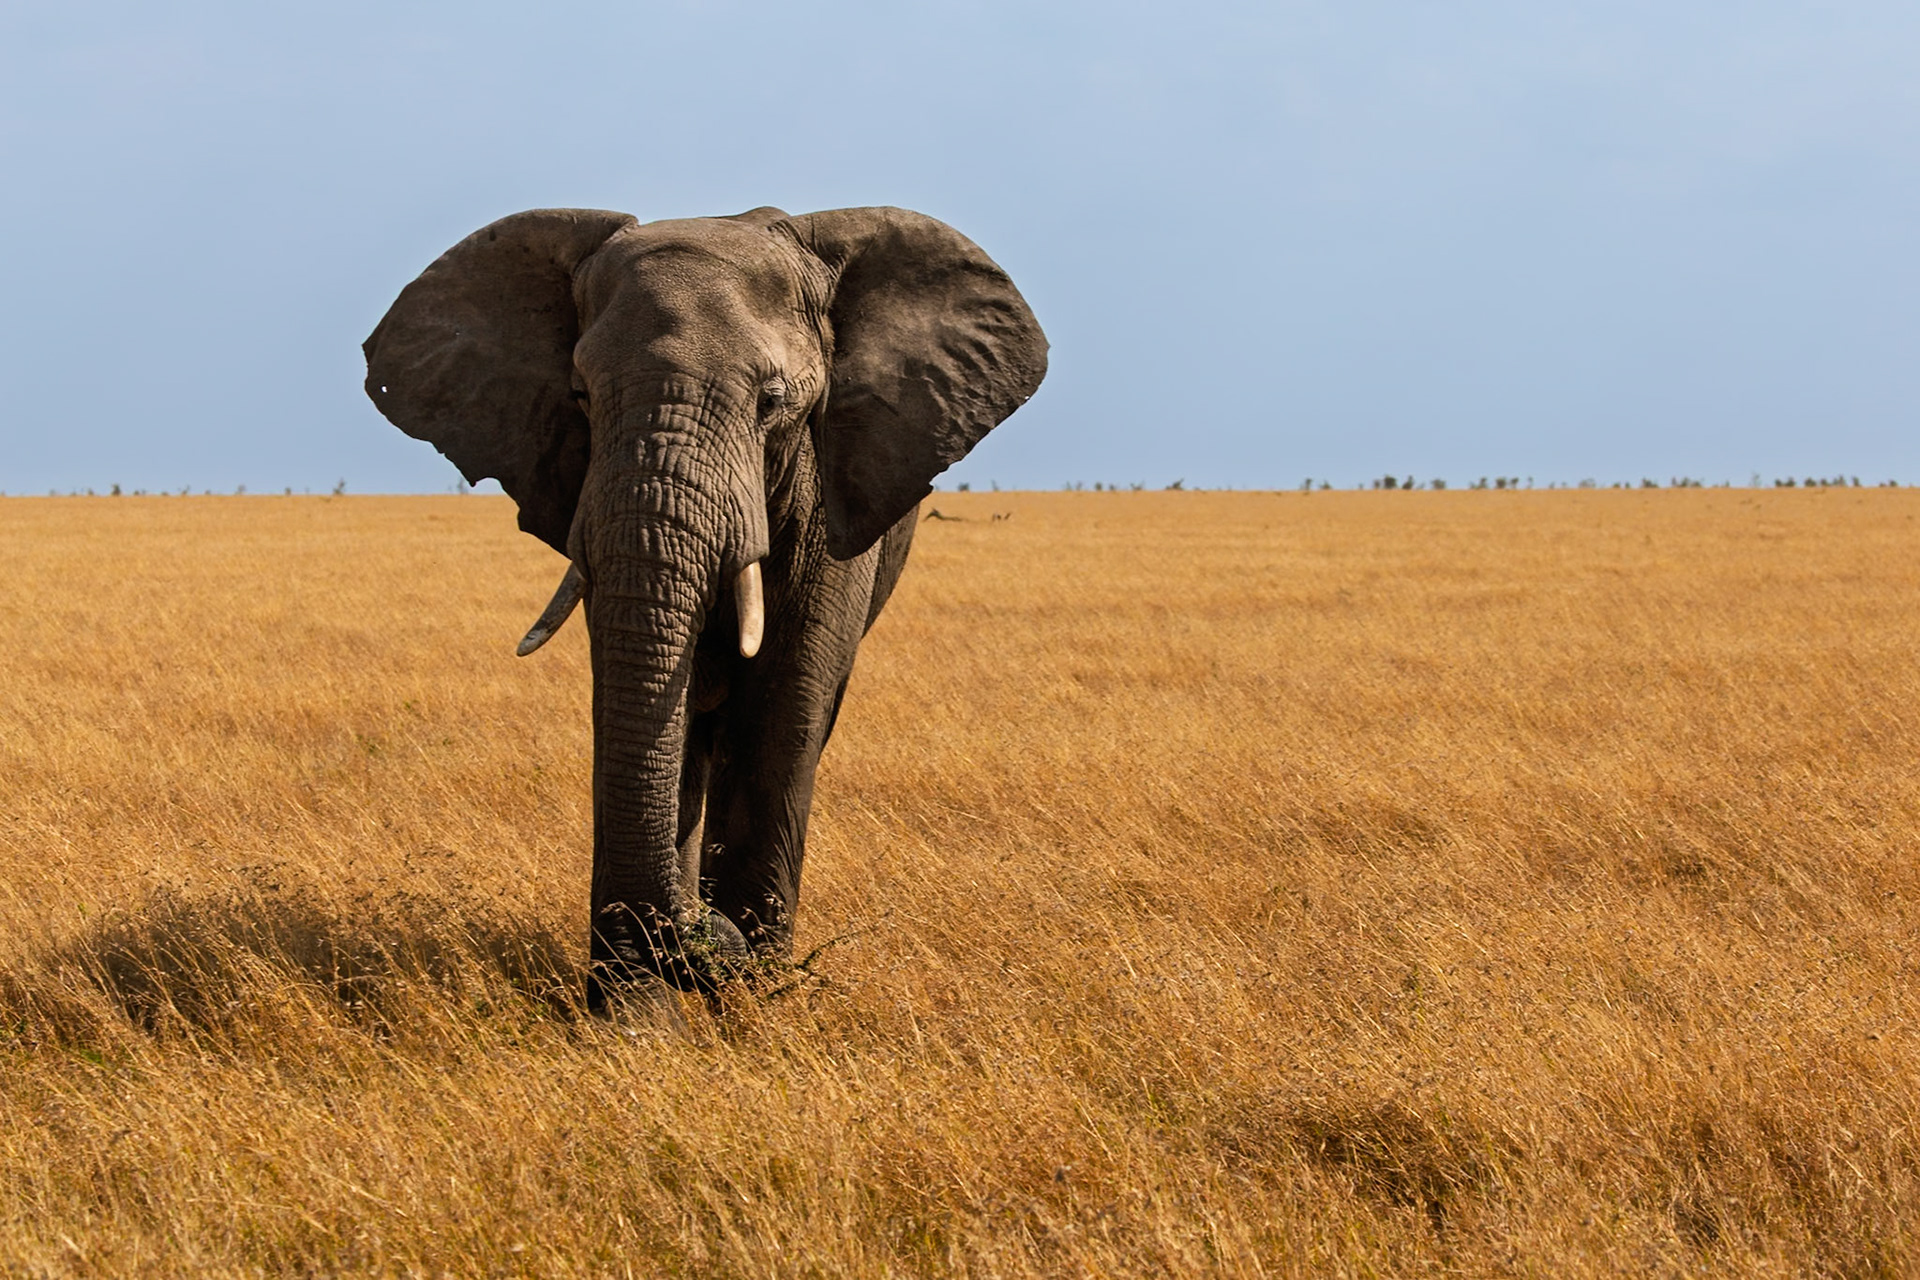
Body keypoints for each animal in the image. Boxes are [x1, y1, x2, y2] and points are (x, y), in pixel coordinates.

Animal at [363, 205, 1047, 1010]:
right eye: (581, 397)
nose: (698, 938)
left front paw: (750, 996)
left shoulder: (831, 497)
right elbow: (645, 697)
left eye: (772, 402)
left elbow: (784, 705)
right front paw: (637, 1010)